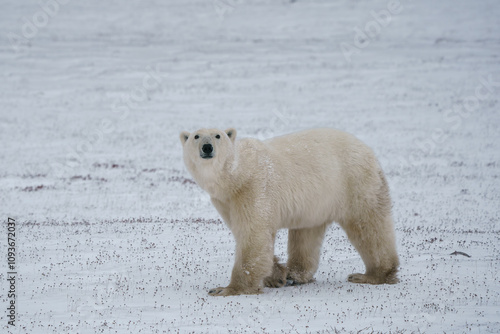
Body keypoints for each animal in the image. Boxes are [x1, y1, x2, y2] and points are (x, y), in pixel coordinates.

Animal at [180, 127, 398, 294]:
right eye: (196, 136)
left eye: (217, 135)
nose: (207, 147)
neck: (237, 174)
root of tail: (367, 149)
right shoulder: (225, 200)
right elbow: (250, 235)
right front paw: (276, 276)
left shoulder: (253, 188)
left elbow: (253, 235)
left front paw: (226, 289)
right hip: (316, 202)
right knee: (306, 234)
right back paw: (295, 274)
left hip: (354, 182)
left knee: (368, 225)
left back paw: (372, 274)